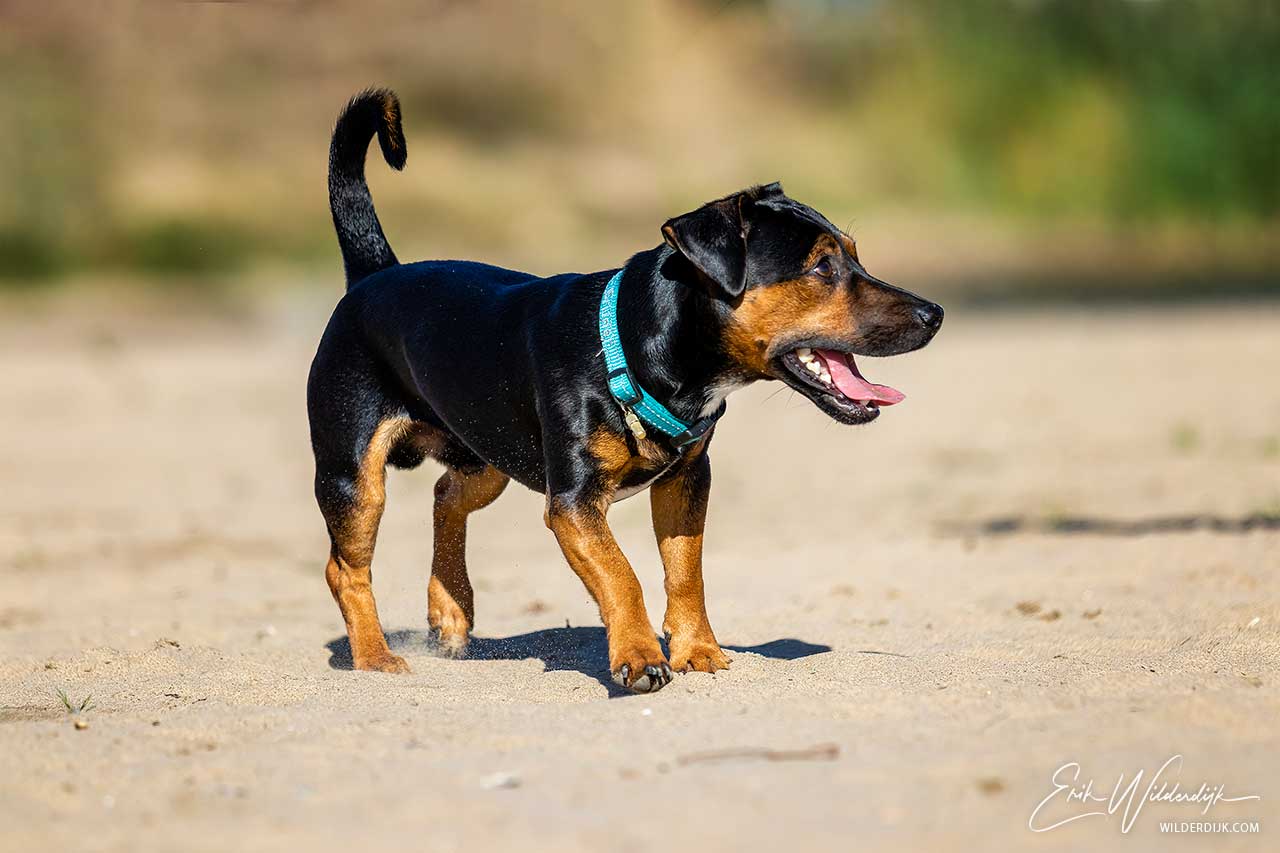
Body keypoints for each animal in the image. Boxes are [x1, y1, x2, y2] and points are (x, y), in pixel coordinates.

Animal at [308, 89, 942, 691]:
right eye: (820, 268)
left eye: (855, 258)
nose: (934, 314)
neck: (635, 351)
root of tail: (374, 274)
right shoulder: (573, 503)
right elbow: (622, 574)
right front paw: (639, 657)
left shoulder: (687, 481)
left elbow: (685, 572)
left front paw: (697, 650)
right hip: (354, 477)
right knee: (346, 568)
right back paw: (375, 656)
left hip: (488, 456)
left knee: (445, 496)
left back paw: (450, 610)